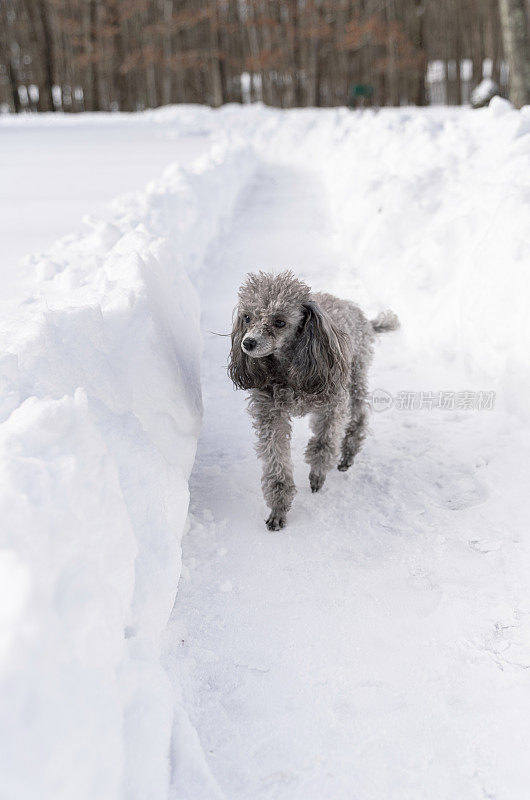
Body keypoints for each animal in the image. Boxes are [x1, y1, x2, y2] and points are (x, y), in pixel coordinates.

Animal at [227, 270, 396, 532]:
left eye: (279, 322)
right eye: (247, 317)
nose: (248, 343)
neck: (289, 365)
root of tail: (360, 314)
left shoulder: (332, 404)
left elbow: (324, 443)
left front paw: (317, 476)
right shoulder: (270, 413)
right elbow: (276, 462)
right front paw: (278, 508)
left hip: (356, 375)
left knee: (359, 416)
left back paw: (348, 454)